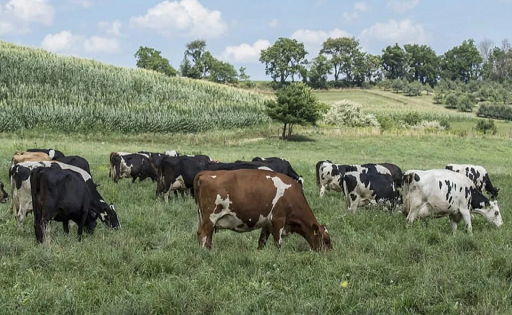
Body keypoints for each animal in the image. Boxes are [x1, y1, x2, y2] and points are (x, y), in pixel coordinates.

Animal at [193, 169, 332, 253]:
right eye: (326, 240)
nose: (330, 254)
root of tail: (205, 173)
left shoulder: (267, 224)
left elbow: (261, 242)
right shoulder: (278, 220)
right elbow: (277, 243)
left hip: (207, 218)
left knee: (208, 236)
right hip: (211, 217)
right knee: (202, 234)